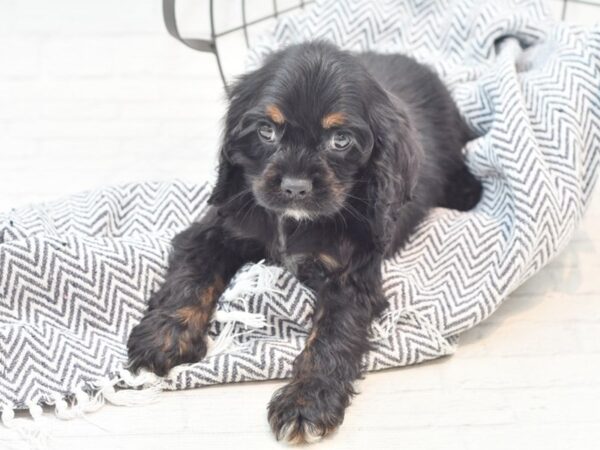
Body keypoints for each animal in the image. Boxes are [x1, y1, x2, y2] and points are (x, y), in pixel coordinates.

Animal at [127, 41, 482, 442]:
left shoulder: (350, 276)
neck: (292, 222)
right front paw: (164, 336)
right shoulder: (217, 229)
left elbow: (330, 337)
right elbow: (191, 276)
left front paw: (306, 402)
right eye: (266, 130)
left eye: (340, 140)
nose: (294, 187)